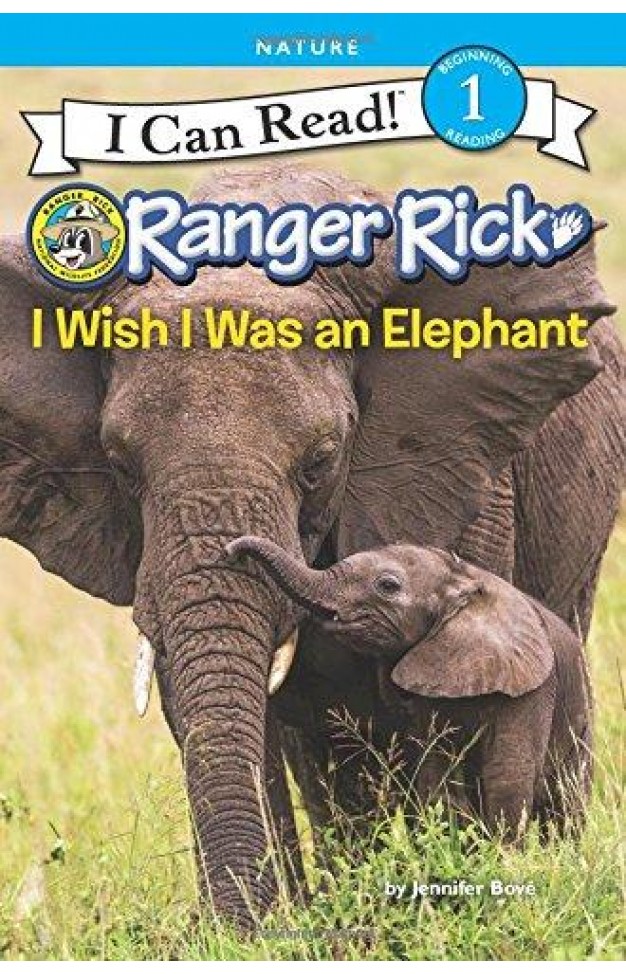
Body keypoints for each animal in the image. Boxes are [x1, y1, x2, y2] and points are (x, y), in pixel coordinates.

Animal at [226, 537, 593, 835]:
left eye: (387, 585)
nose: (231, 550)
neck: (462, 581)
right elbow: (434, 772)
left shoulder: (531, 689)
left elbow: (507, 776)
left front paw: (503, 859)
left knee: (567, 807)